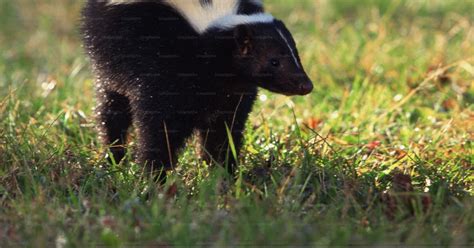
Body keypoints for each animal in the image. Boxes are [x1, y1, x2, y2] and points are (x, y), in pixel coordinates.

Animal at [81, 0, 312, 179]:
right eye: (274, 62)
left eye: (297, 55)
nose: (306, 85)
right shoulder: (162, 70)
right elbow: (159, 129)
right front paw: (154, 178)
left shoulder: (232, 94)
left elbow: (224, 130)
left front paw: (222, 173)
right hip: (107, 59)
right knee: (112, 110)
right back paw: (113, 157)